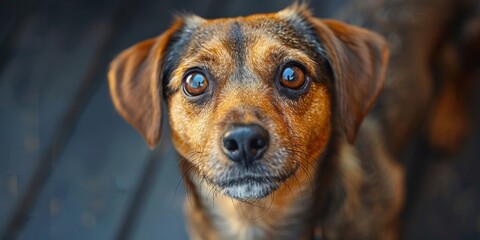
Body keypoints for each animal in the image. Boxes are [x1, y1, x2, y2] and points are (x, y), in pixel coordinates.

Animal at [107, 2, 478, 240]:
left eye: (292, 74)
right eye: (195, 81)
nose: (244, 141)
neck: (254, 221)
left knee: (458, 69)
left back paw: (447, 120)